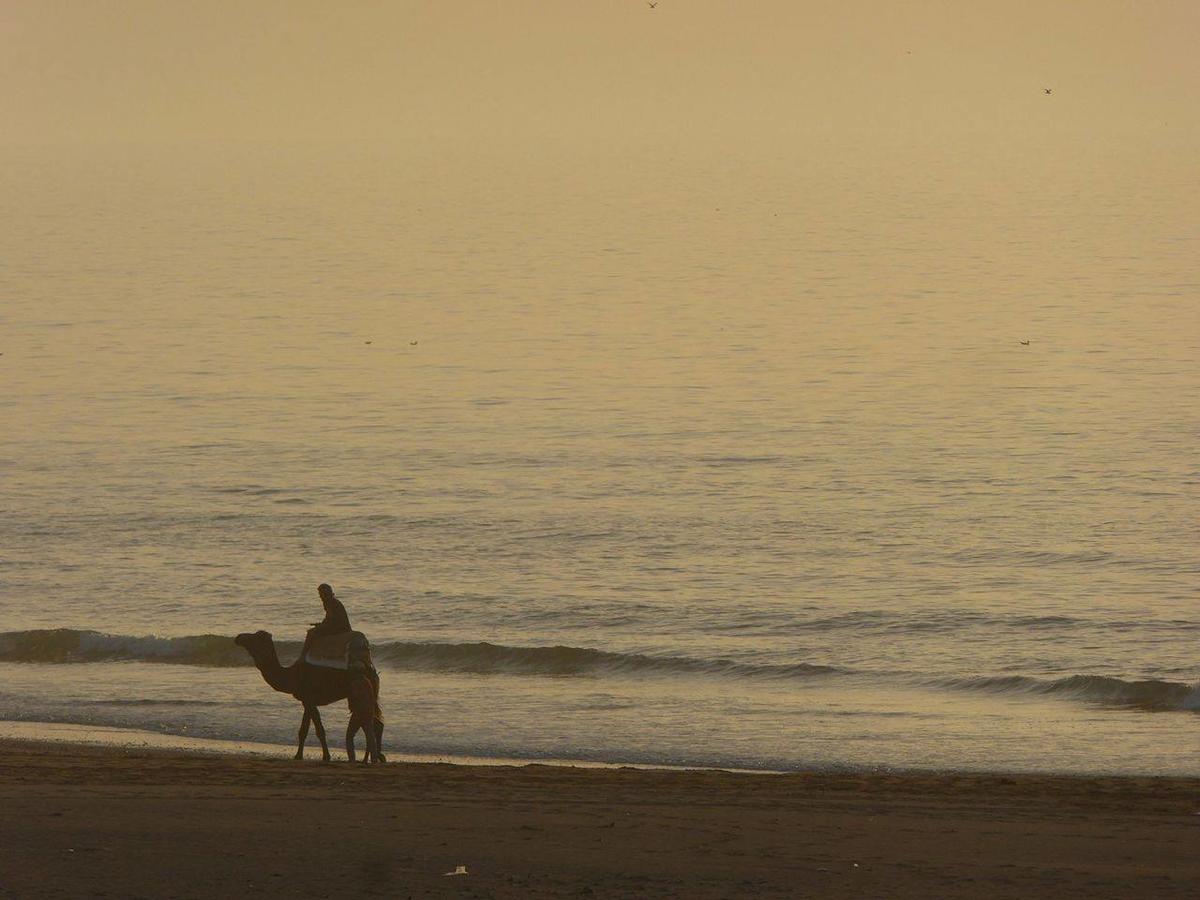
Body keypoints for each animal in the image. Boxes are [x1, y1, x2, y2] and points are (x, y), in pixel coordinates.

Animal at [234, 628, 384, 763]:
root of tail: (369, 666)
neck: (292, 676)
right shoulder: (306, 701)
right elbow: (303, 730)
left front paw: (326, 756)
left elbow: (319, 729)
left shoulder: (310, 700)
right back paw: (375, 757)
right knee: (375, 722)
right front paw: (298, 756)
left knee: (374, 722)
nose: (238, 637)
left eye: (255, 637)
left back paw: (374, 757)